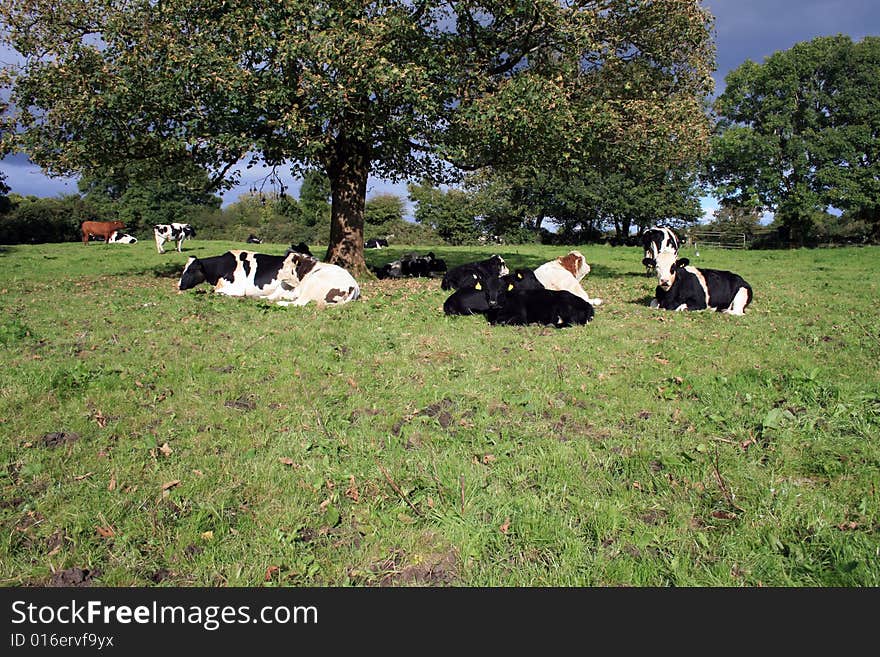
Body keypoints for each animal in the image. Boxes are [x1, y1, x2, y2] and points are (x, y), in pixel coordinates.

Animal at [177, 250, 360, 306]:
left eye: (191, 270)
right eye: (184, 269)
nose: (178, 286)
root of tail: (353, 285)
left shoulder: (237, 288)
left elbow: (215, 292)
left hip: (314, 284)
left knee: (299, 303)